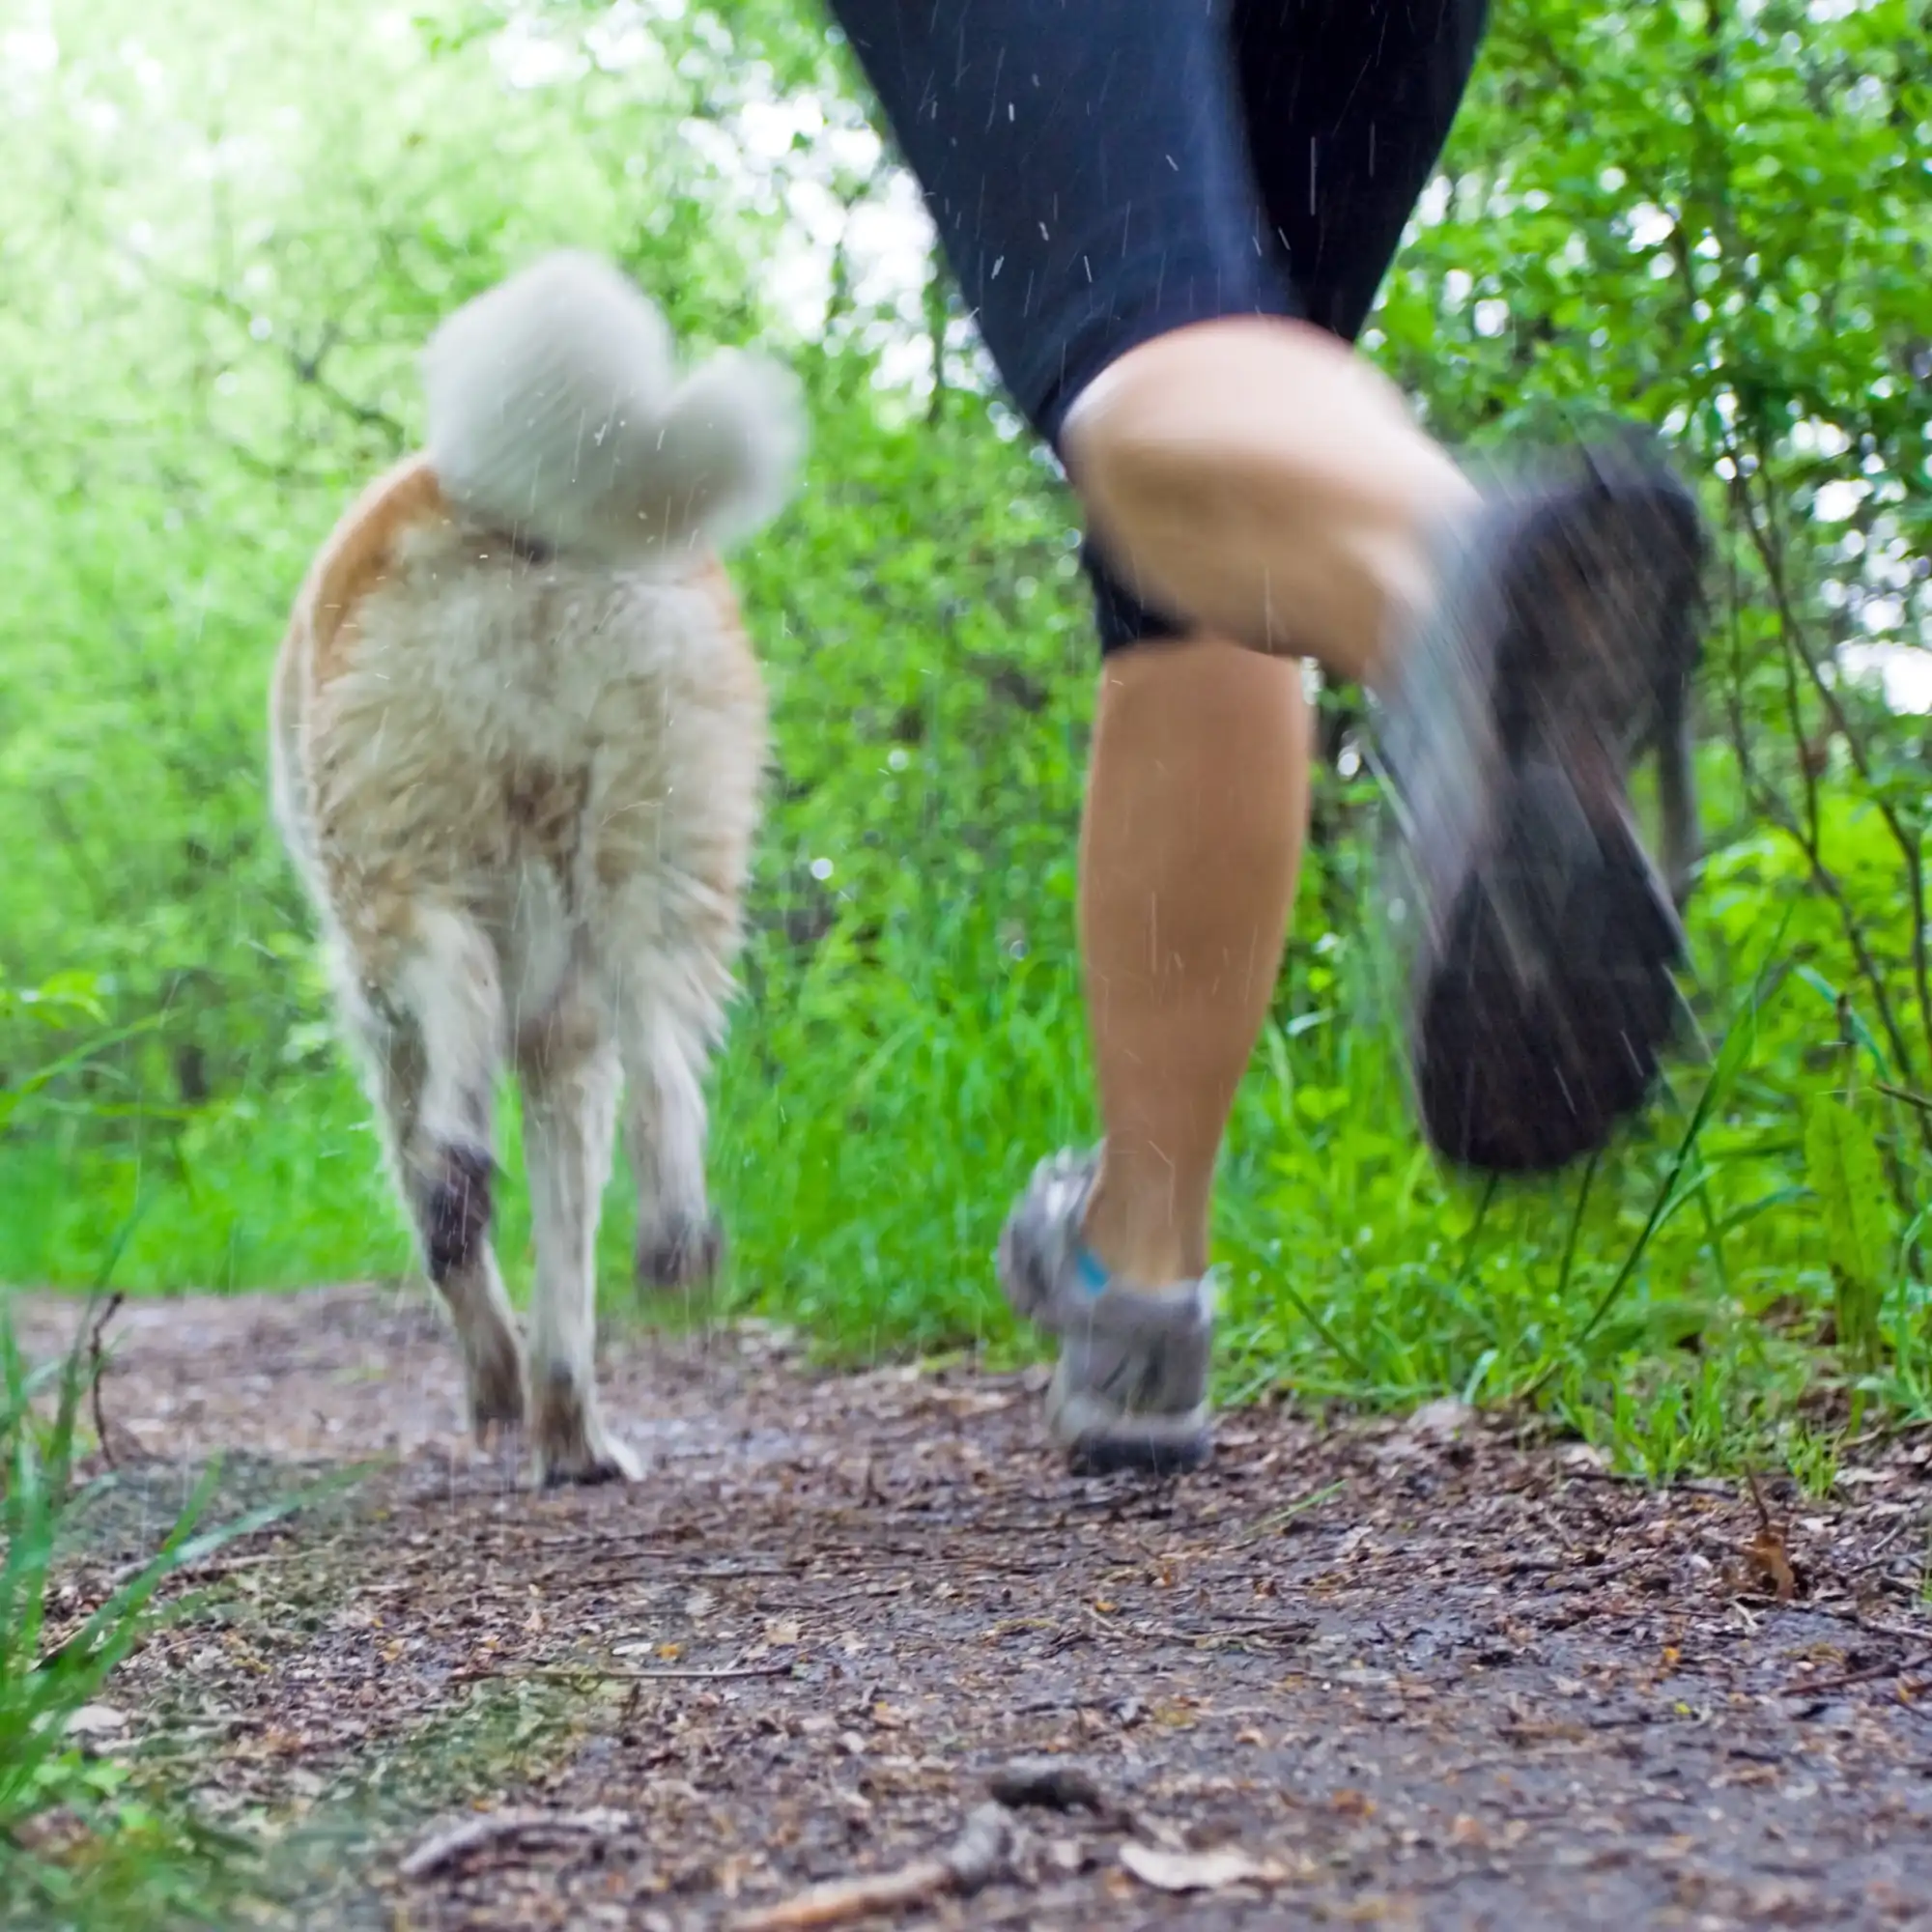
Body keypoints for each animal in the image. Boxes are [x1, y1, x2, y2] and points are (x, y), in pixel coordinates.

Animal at [270, 242, 800, 1476]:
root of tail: (523, 513)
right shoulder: (565, 1040)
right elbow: (566, 1251)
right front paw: (569, 1430)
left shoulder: (381, 1036)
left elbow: (451, 1247)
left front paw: (500, 1384)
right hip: (671, 845)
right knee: (660, 1065)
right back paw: (677, 1238)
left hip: (399, 863)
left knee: (453, 1013)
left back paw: (466, 1170)